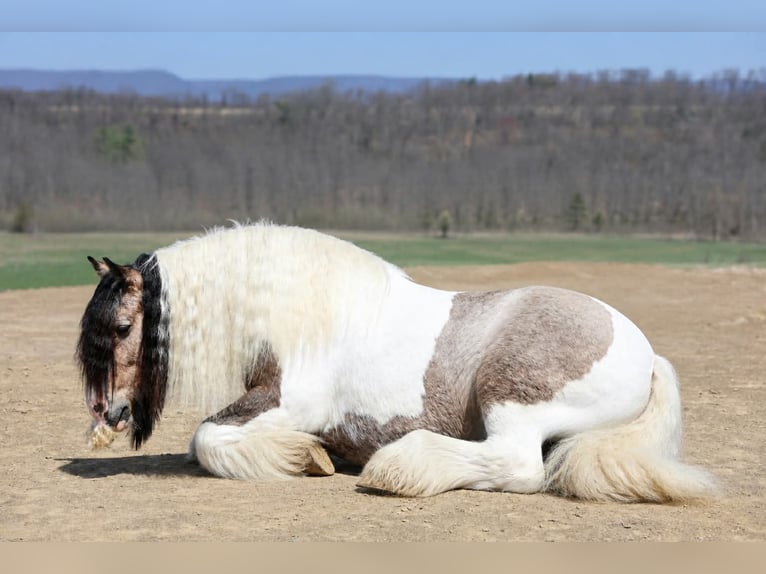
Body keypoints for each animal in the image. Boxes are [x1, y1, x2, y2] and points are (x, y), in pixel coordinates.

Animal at [76, 223, 716, 502]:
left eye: (124, 327)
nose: (108, 414)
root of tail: (648, 355)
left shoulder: (291, 404)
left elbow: (205, 438)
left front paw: (306, 456)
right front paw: (316, 454)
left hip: (511, 397)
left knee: (517, 465)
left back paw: (400, 467)